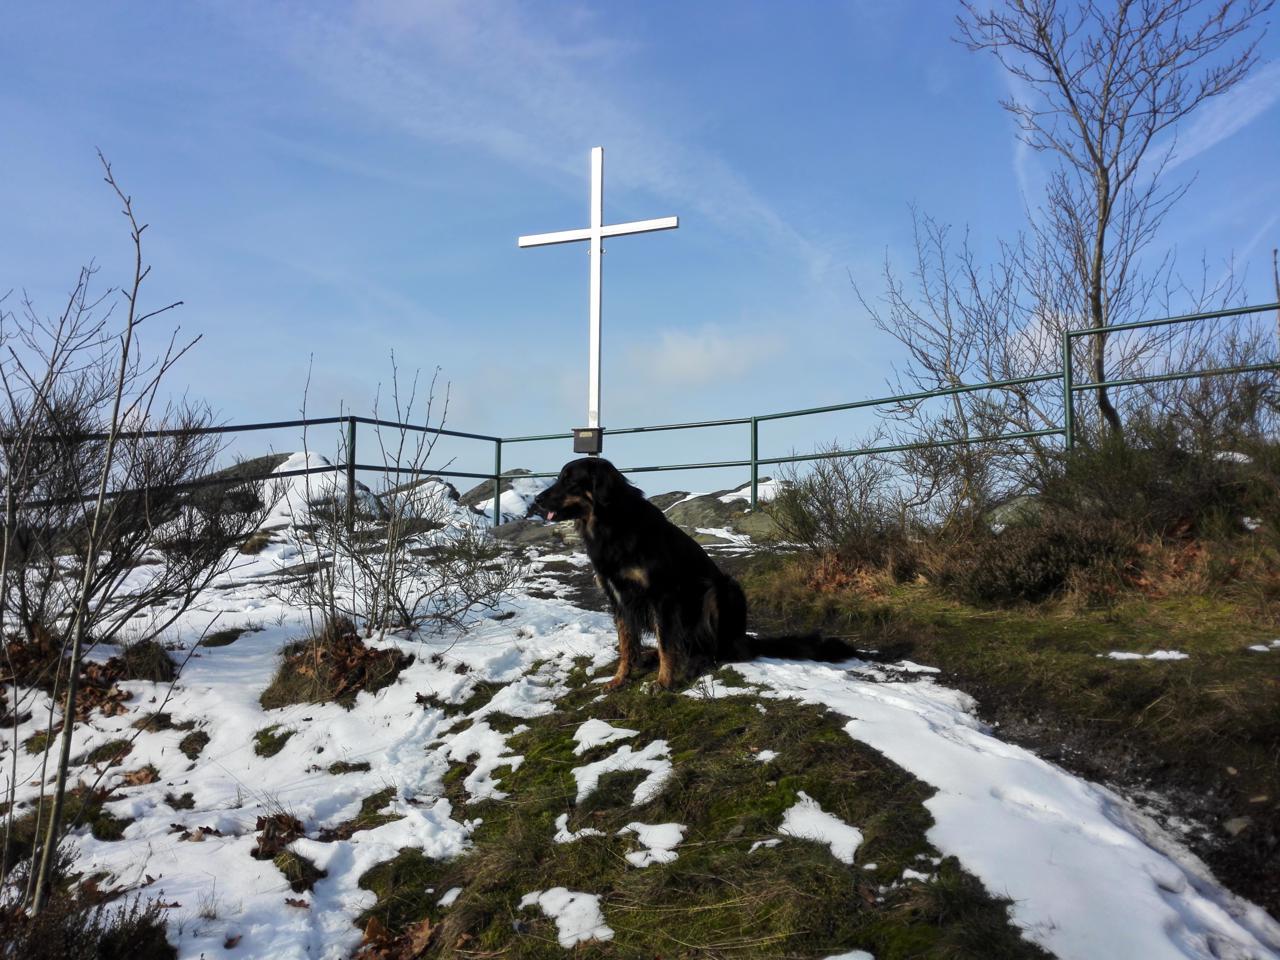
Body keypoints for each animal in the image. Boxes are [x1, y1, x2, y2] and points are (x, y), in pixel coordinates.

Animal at [531, 457, 751, 689]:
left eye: (570, 481)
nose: (537, 500)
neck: (611, 524)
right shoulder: (618, 598)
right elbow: (626, 643)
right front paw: (620, 679)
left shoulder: (661, 596)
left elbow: (665, 643)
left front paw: (663, 681)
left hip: (722, 589)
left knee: (718, 647)